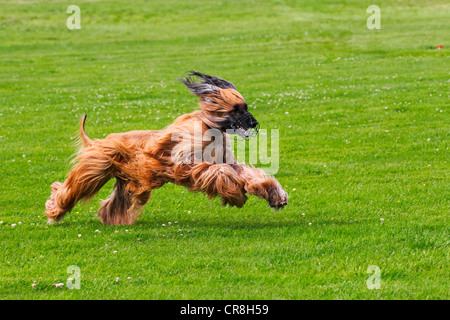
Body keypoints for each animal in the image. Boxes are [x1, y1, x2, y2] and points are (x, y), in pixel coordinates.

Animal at [45, 71, 288, 224]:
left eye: (245, 106)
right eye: (237, 109)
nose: (254, 123)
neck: (211, 129)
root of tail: (97, 141)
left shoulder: (225, 160)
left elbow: (246, 173)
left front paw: (275, 196)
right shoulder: (184, 161)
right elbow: (217, 172)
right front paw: (235, 194)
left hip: (125, 180)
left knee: (112, 204)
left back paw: (111, 220)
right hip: (95, 168)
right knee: (69, 189)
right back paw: (55, 211)